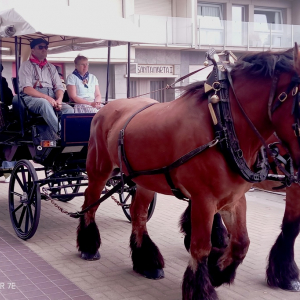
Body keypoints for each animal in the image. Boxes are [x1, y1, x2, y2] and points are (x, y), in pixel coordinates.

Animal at [77, 45, 300, 298]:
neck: (222, 124)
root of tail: (105, 108)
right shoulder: (204, 199)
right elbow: (201, 247)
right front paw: (201, 288)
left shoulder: (234, 198)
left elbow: (241, 243)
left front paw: (217, 271)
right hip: (99, 170)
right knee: (90, 203)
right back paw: (88, 246)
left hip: (144, 181)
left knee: (138, 214)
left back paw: (147, 262)